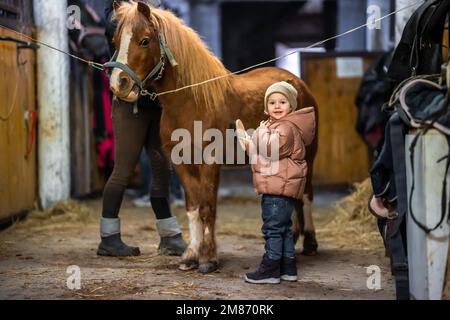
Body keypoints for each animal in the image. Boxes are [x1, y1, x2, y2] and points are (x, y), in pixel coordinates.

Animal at [109, 1, 320, 274]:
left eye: (144, 40)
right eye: (115, 41)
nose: (119, 84)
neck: (192, 102)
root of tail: (298, 84)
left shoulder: (209, 163)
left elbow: (208, 207)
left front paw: (208, 258)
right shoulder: (181, 164)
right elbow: (193, 207)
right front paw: (191, 255)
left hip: (308, 157)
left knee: (306, 194)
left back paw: (310, 243)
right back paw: (292, 238)